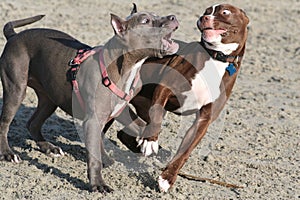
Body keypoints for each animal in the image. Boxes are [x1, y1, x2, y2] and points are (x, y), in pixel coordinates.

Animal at [0, 6, 178, 194]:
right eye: (145, 21)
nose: (173, 17)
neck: (126, 66)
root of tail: (13, 36)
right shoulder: (93, 120)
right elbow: (94, 154)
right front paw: (98, 184)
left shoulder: (120, 110)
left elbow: (140, 125)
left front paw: (149, 143)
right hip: (16, 90)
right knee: (4, 123)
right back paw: (7, 153)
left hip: (50, 99)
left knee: (33, 123)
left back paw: (49, 148)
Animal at [116, 3, 250, 191]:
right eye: (207, 11)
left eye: (225, 12)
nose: (203, 18)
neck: (216, 59)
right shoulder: (166, 88)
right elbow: (156, 120)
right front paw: (150, 142)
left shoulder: (203, 121)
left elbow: (185, 152)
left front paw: (168, 177)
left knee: (127, 132)